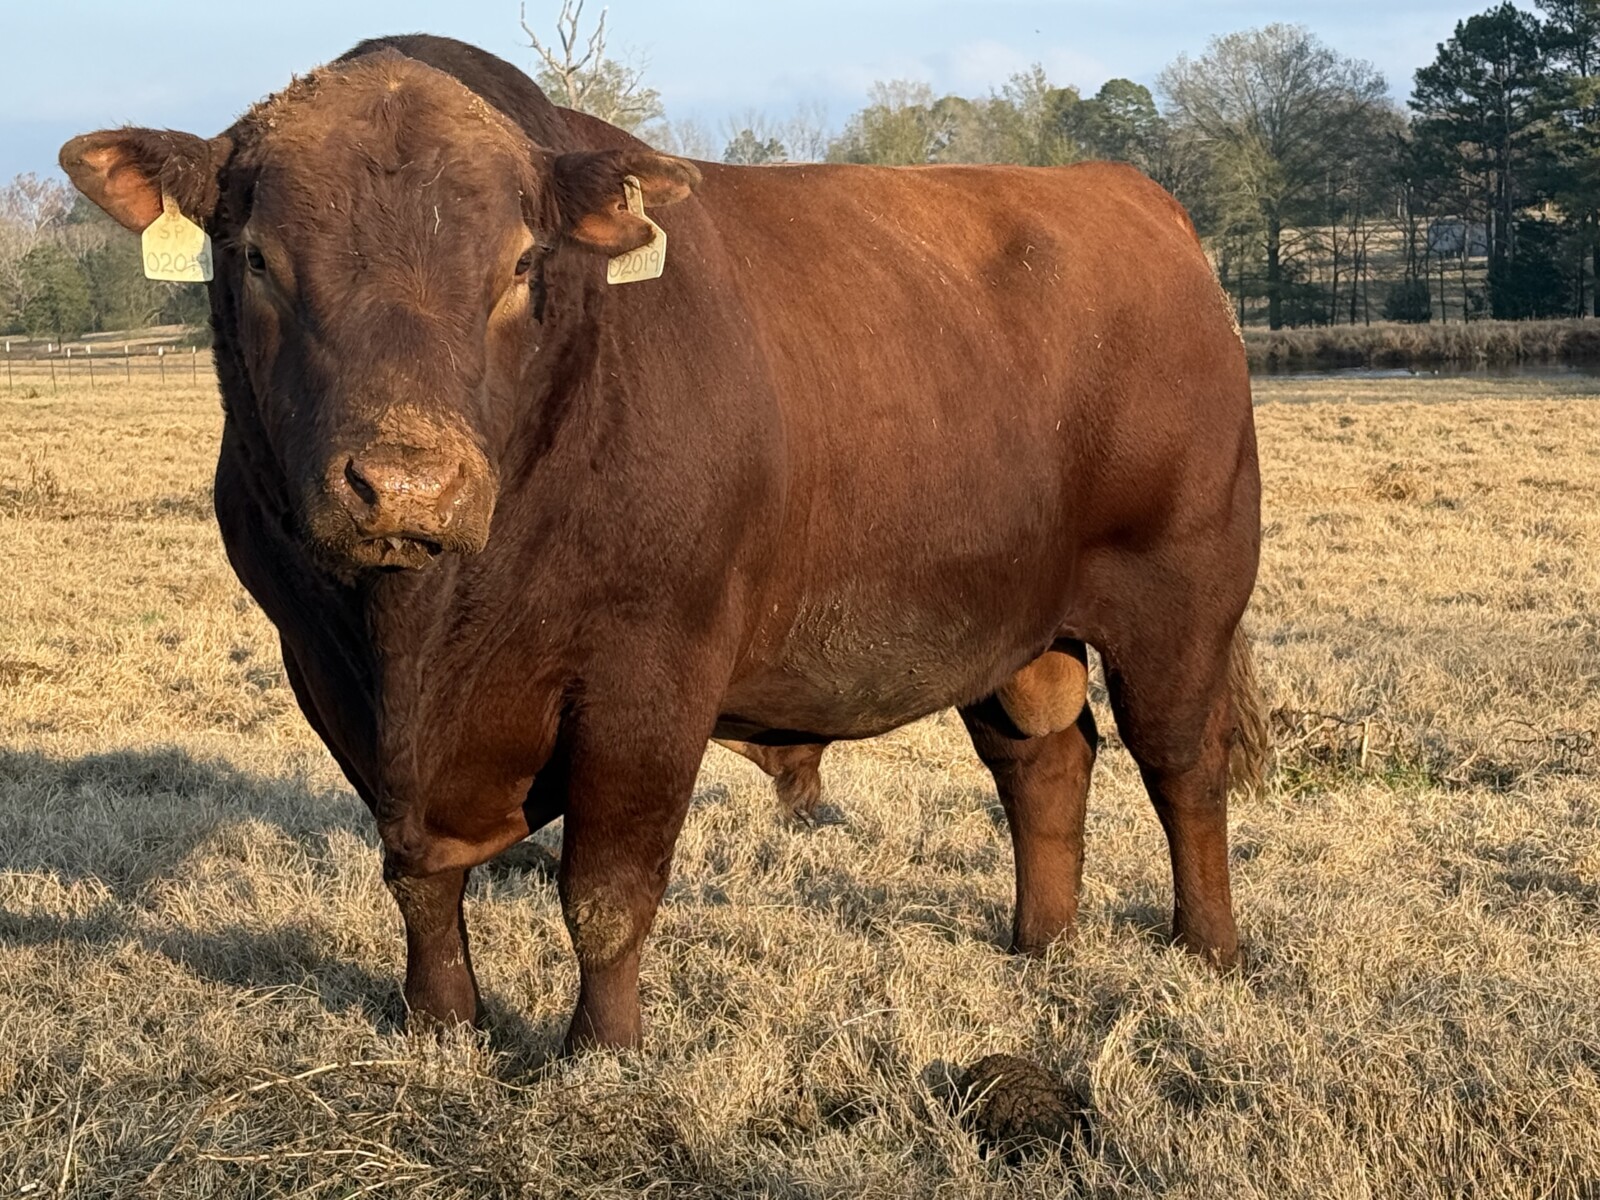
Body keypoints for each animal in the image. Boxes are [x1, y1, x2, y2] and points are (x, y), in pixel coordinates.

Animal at [60, 35, 1266, 1052]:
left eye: (518, 264)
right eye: (259, 259)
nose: (406, 484)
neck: (415, 637)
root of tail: (1129, 196)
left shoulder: (648, 676)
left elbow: (604, 890)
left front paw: (602, 1050)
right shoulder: (327, 674)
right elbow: (417, 874)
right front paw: (444, 1026)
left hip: (1183, 594)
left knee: (1182, 767)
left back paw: (1206, 952)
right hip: (1016, 621)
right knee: (1043, 759)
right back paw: (1040, 944)